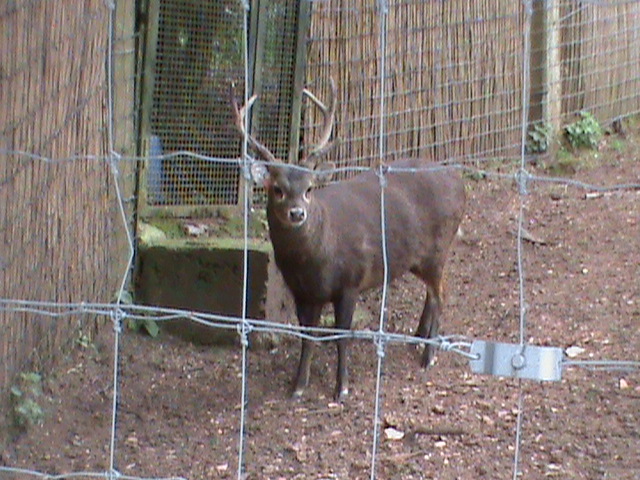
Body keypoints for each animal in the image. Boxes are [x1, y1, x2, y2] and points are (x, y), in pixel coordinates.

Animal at [231, 80, 466, 400]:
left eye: (309, 188)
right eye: (277, 189)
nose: (297, 213)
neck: (315, 257)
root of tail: (459, 181)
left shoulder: (350, 282)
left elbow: (342, 335)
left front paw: (341, 387)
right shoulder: (303, 292)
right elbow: (307, 336)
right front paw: (298, 385)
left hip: (438, 248)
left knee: (442, 294)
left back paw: (428, 356)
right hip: (421, 258)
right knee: (432, 293)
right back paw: (417, 339)